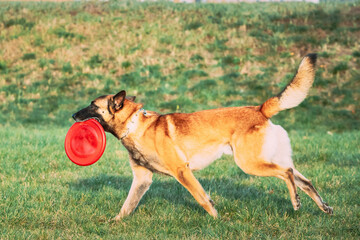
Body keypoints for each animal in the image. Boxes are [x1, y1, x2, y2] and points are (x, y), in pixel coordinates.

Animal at [71, 54, 334, 219]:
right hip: (267, 159)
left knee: (287, 173)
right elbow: (127, 207)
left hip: (249, 163)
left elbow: (202, 198)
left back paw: (296, 202)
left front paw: (217, 221)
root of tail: (260, 109)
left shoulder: (182, 171)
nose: (73, 115)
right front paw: (113, 222)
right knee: (304, 180)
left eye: (92, 106)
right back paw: (323, 207)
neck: (135, 126)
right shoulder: (142, 179)